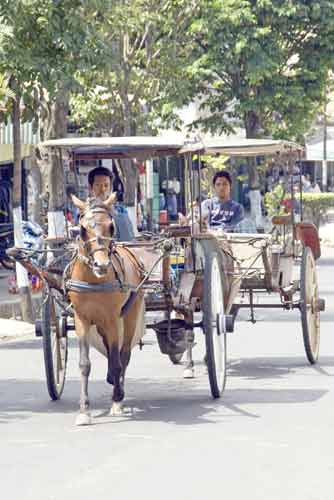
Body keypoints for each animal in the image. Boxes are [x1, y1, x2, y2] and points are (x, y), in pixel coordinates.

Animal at [68, 195, 145, 426]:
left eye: (111, 227)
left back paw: (118, 391)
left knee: (124, 354)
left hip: (130, 313)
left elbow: (119, 360)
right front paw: (84, 411)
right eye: (82, 229)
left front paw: (117, 400)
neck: (93, 281)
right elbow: (84, 364)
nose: (101, 265)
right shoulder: (81, 319)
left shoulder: (112, 318)